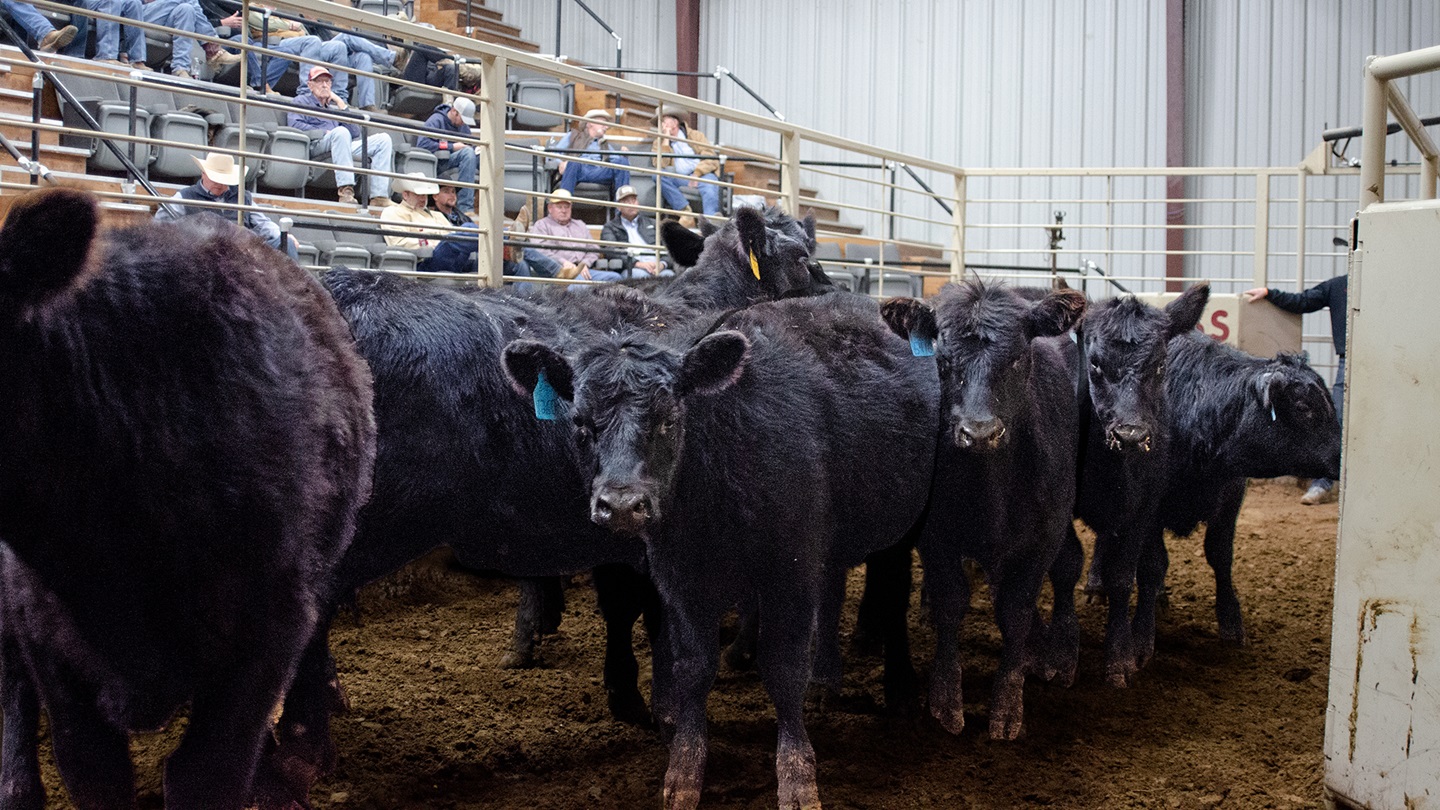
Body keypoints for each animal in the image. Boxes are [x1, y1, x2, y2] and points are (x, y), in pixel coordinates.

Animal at [503, 290, 937, 810]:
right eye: (580, 423)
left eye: (670, 420)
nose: (622, 504)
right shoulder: (680, 576)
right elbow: (691, 666)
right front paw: (684, 771)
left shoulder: (789, 568)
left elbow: (784, 667)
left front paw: (796, 774)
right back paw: (826, 681)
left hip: (902, 527)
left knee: (893, 597)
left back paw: (901, 688)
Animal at [881, 282, 1086, 739]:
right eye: (943, 360)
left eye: (1018, 357)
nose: (979, 432)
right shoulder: (935, 537)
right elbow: (950, 602)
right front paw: (945, 699)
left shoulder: (1042, 538)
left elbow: (1016, 609)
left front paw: (1008, 706)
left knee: (1066, 568)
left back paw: (1060, 656)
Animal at [1054, 284, 1209, 687]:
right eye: (1094, 364)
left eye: (1159, 365)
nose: (1131, 435)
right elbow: (1065, 564)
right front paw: (1062, 653)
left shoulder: (1143, 508)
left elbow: (1125, 576)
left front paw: (1121, 656)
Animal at [1147, 331, 1341, 644]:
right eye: (1303, 408)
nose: (1341, 456)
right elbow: (1155, 561)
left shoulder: (1231, 497)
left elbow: (1220, 555)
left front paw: (1231, 620)